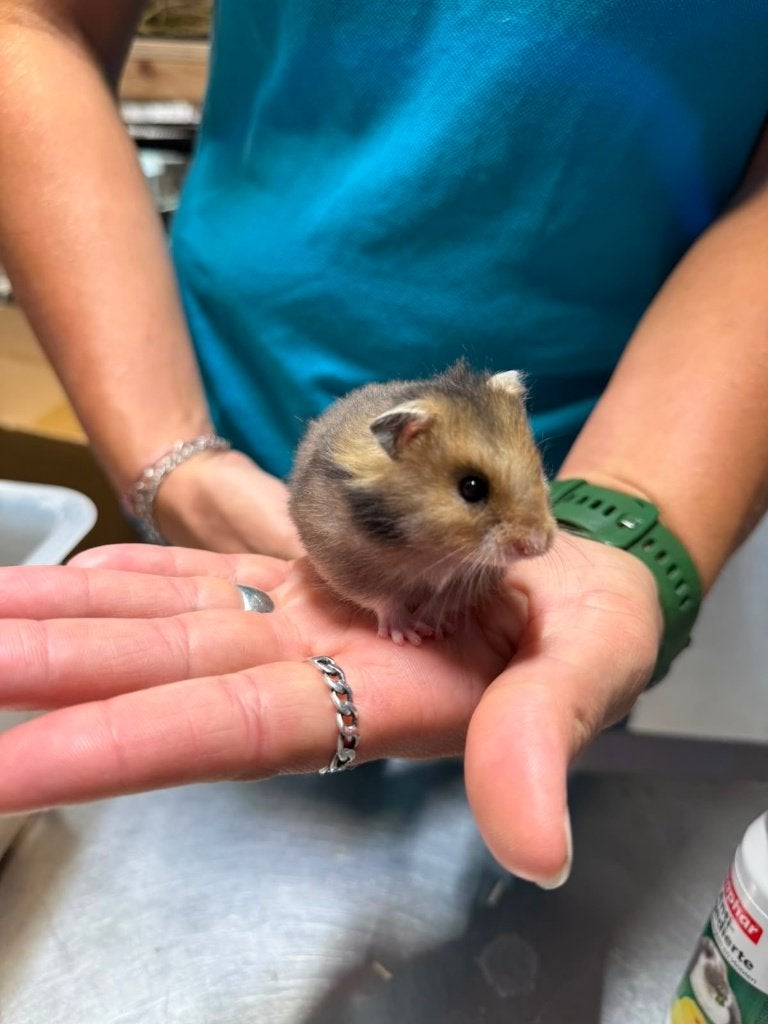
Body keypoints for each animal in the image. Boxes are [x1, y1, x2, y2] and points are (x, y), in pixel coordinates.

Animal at [289, 360, 556, 644]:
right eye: (471, 488)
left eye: (538, 469)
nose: (537, 546)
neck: (431, 548)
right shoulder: (347, 564)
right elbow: (384, 600)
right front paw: (407, 634)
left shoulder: (470, 578)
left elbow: (440, 602)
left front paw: (431, 628)